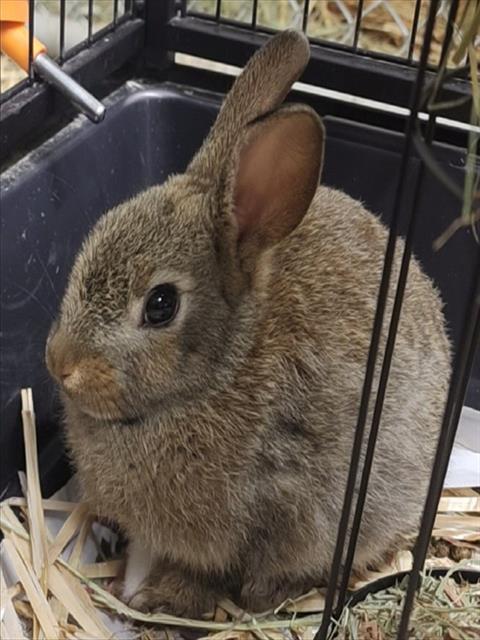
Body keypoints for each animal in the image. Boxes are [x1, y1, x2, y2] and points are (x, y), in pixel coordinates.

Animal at [46, 29, 451, 616]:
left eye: (161, 304)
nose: (60, 363)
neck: (219, 372)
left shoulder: (282, 508)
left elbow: (231, 570)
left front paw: (167, 595)